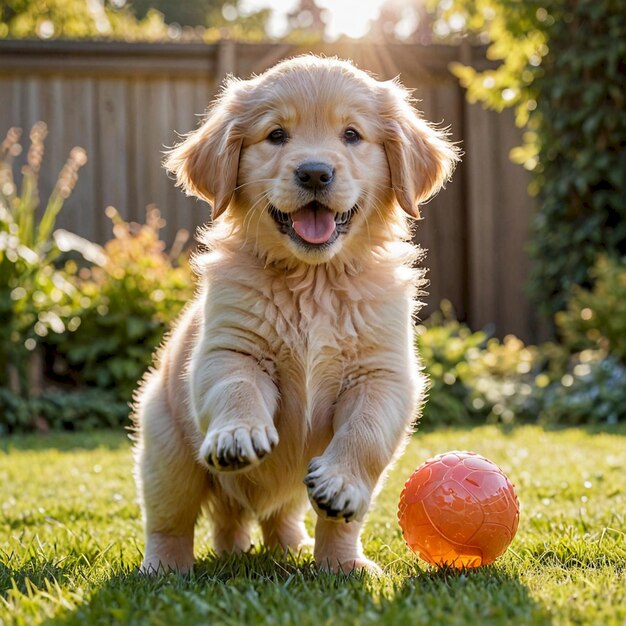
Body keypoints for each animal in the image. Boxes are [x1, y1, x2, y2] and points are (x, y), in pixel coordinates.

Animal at [132, 53, 456, 572]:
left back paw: (325, 557)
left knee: (292, 518)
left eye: (351, 134)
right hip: (166, 452)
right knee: (170, 521)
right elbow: (237, 386)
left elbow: (365, 435)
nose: (315, 173)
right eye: (276, 134)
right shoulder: (229, 349)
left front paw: (342, 485)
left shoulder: (382, 376)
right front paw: (238, 433)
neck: (314, 281)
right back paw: (162, 568)